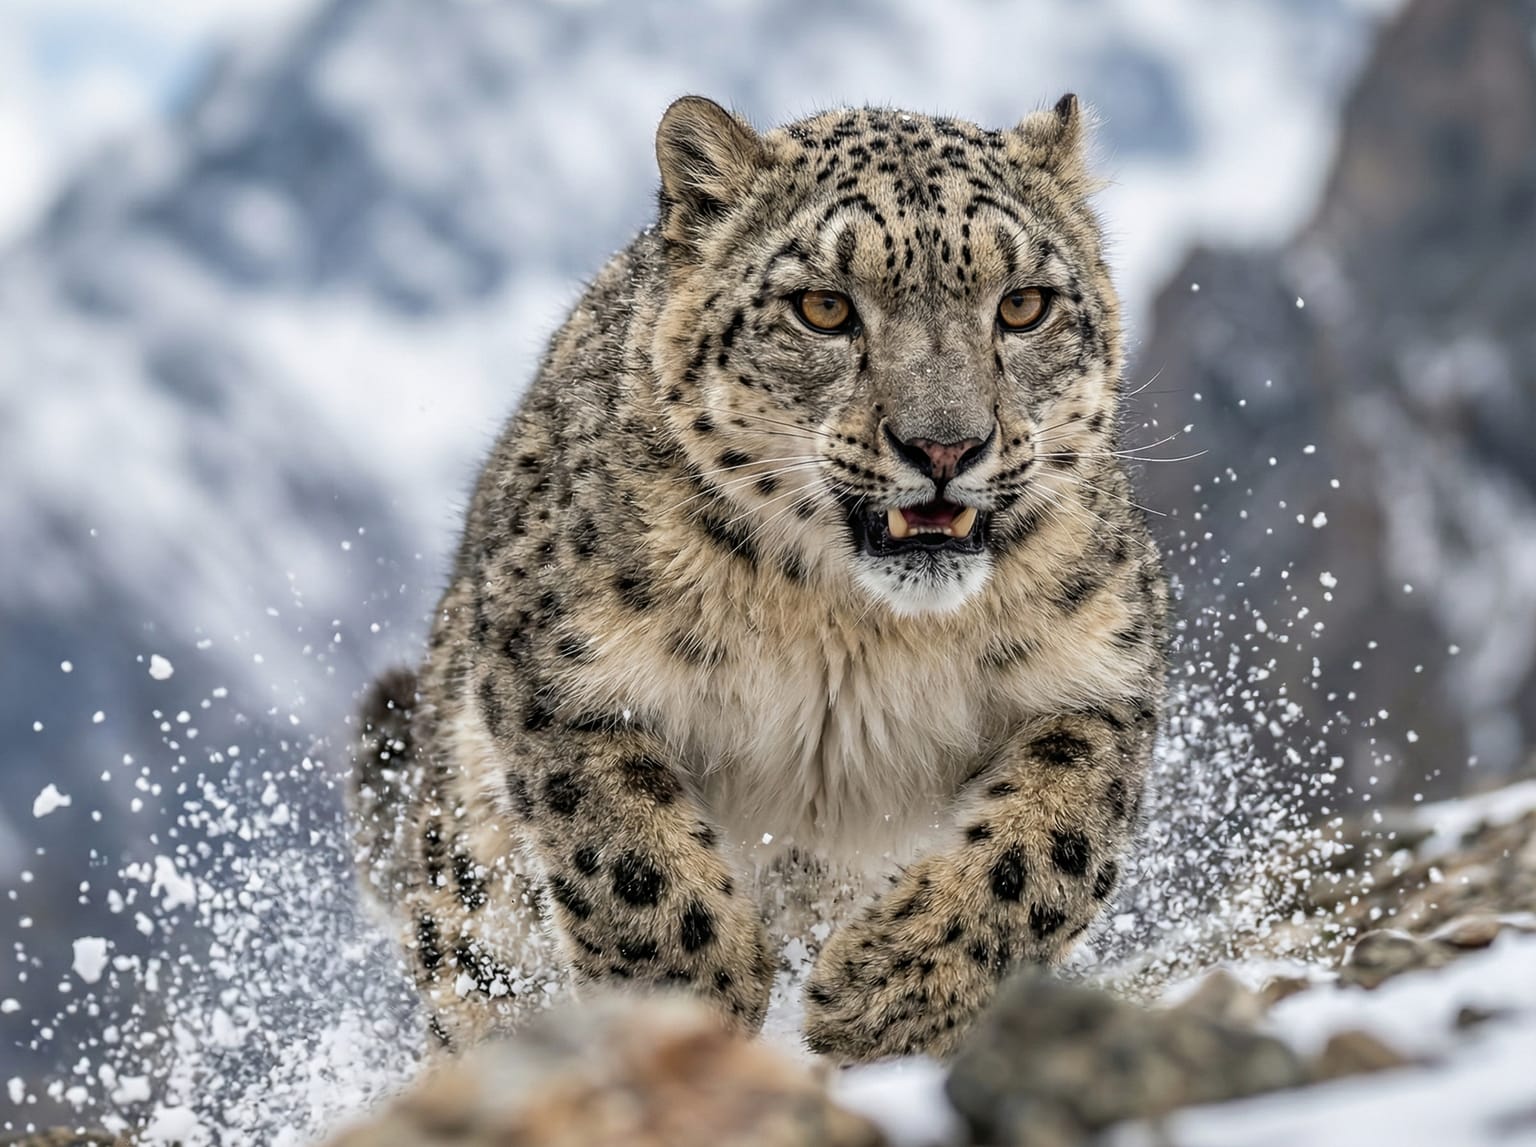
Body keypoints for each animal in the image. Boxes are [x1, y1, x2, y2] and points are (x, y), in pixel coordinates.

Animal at [349, 93, 1167, 1064]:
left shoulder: (1099, 674)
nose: (945, 446)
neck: (852, 632)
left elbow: (1047, 847)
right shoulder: (557, 672)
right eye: (823, 307)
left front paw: (888, 994)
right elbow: (630, 858)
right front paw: (689, 1000)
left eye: (1024, 305)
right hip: (469, 876)